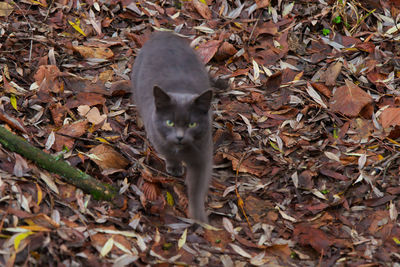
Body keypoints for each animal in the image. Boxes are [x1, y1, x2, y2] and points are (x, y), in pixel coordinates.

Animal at [130, 31, 212, 223]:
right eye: (170, 122)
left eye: (192, 124)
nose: (180, 136)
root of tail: (163, 33)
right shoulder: (159, 138)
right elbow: (168, 154)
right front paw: (174, 168)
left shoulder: (202, 154)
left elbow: (197, 188)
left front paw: (199, 217)